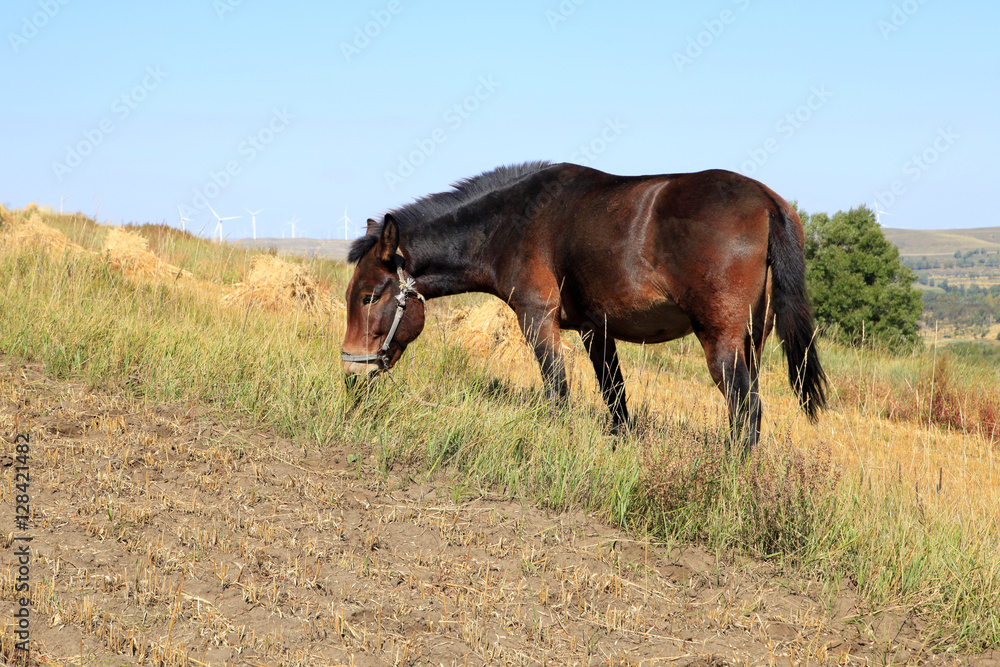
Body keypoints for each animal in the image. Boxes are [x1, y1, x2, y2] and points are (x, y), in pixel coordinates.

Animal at [341, 161, 826, 453]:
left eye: (369, 296)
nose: (351, 372)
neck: (511, 220)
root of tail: (766, 200)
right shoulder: (597, 330)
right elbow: (616, 400)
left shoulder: (537, 318)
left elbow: (557, 389)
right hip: (752, 344)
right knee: (751, 411)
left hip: (721, 343)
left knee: (746, 410)